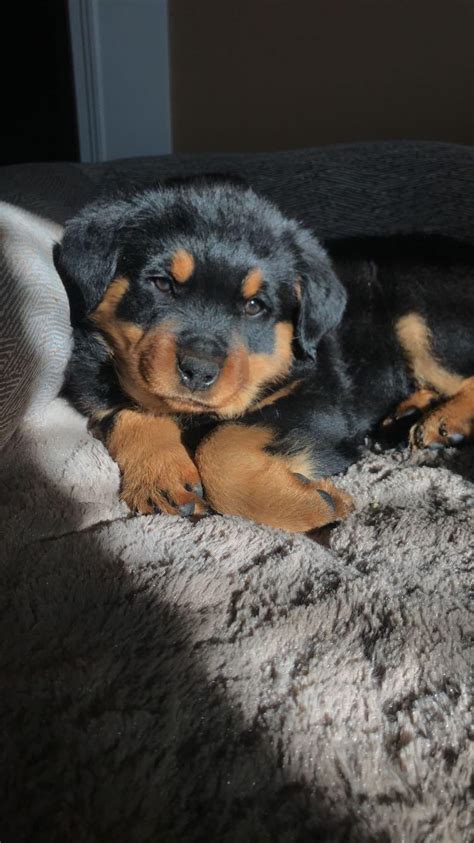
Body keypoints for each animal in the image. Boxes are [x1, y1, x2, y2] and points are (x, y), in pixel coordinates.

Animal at [53, 177, 474, 532]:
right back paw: (403, 418)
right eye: (161, 284)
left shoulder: (321, 397)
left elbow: (223, 441)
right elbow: (128, 411)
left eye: (255, 306)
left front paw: (315, 505)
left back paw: (444, 422)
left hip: (420, 316)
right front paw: (161, 475)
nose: (198, 371)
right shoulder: (93, 381)